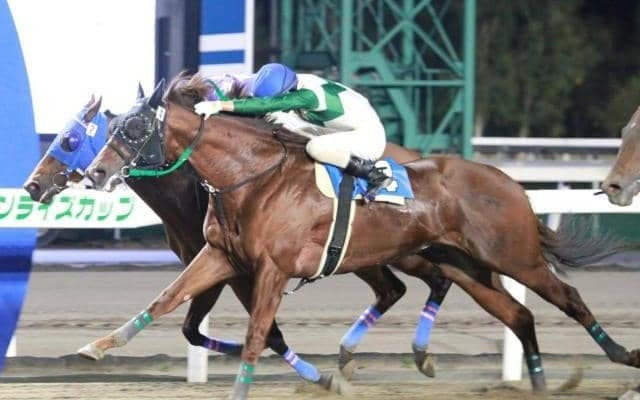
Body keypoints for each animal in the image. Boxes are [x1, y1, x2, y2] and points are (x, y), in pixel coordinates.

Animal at [23, 92, 460, 387]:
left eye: (69, 140)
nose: (32, 185)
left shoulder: (245, 270)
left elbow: (262, 330)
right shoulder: (219, 260)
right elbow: (188, 322)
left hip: (400, 249)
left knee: (437, 278)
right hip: (365, 255)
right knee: (395, 289)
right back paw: (357, 356)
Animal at [85, 75, 640, 399]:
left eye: (133, 129)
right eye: (111, 128)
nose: (95, 173)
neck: (250, 177)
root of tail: (509, 182)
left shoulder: (271, 270)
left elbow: (257, 337)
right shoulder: (223, 256)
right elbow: (166, 299)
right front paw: (100, 344)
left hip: (514, 255)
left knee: (568, 298)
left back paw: (621, 356)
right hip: (465, 263)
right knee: (518, 314)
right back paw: (540, 384)